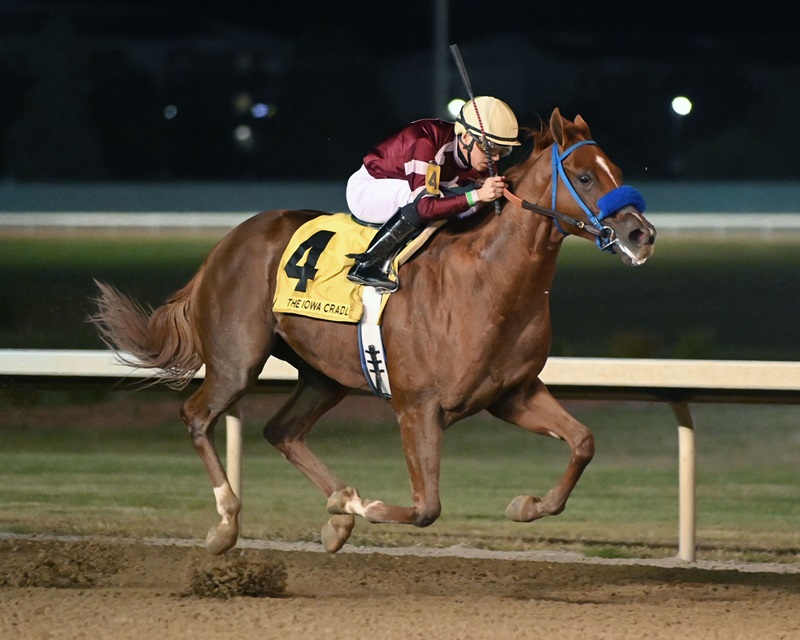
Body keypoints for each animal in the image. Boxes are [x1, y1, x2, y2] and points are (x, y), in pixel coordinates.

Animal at [94, 109, 656, 556]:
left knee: (282, 430)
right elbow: (426, 507)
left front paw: (526, 504)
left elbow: (583, 442)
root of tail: (226, 243)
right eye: (584, 177)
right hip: (237, 360)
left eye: (617, 170)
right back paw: (229, 524)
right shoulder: (417, 407)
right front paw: (364, 505)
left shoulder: (513, 394)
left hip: (323, 374)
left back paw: (336, 515)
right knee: (197, 417)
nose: (641, 234)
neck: (487, 281)